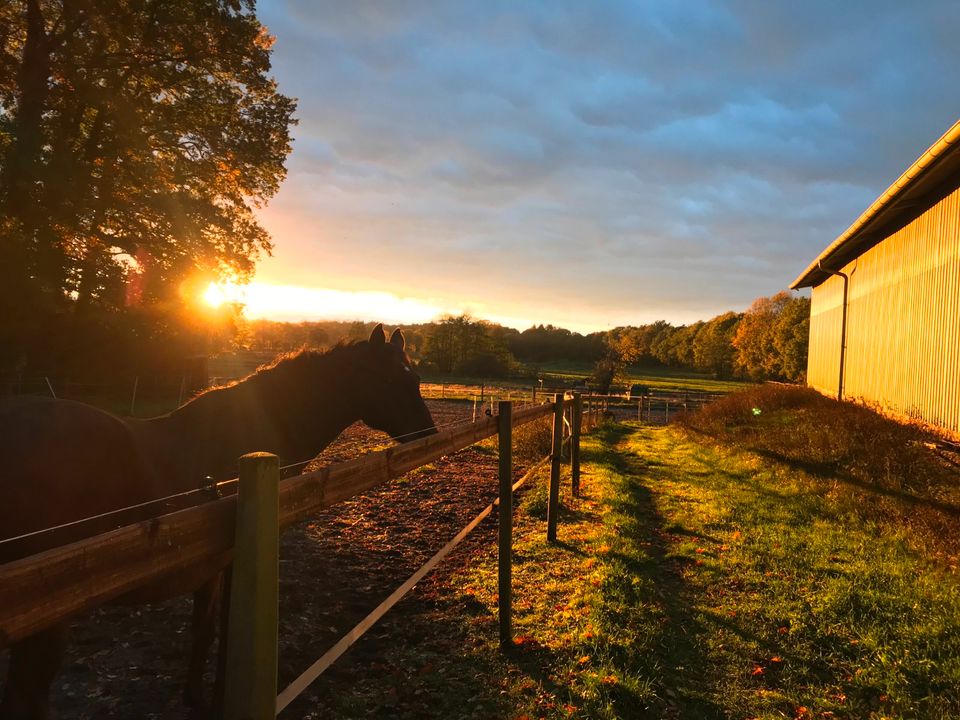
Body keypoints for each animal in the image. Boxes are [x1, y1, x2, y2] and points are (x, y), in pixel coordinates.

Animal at [0, 328, 436, 720]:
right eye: (395, 380)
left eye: (416, 379)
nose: (429, 434)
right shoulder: (234, 564)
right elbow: (228, 638)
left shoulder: (208, 565)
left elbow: (203, 630)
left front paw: (194, 697)